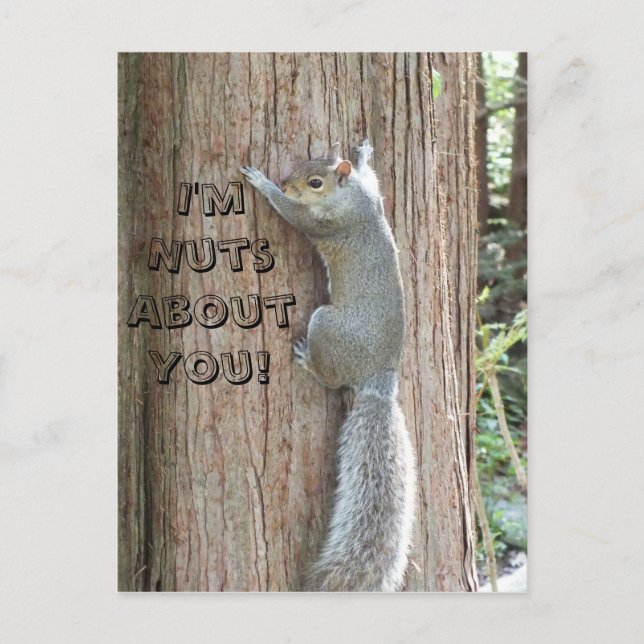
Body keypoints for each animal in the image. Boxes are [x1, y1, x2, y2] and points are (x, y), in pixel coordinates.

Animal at [241, 140, 416, 591]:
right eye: (309, 162)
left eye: (315, 182)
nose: (287, 181)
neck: (351, 197)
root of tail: (380, 379)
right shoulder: (373, 194)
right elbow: (372, 175)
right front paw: (364, 152)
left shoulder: (327, 224)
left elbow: (293, 214)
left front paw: (264, 185)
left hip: (327, 326)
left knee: (333, 378)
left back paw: (308, 362)